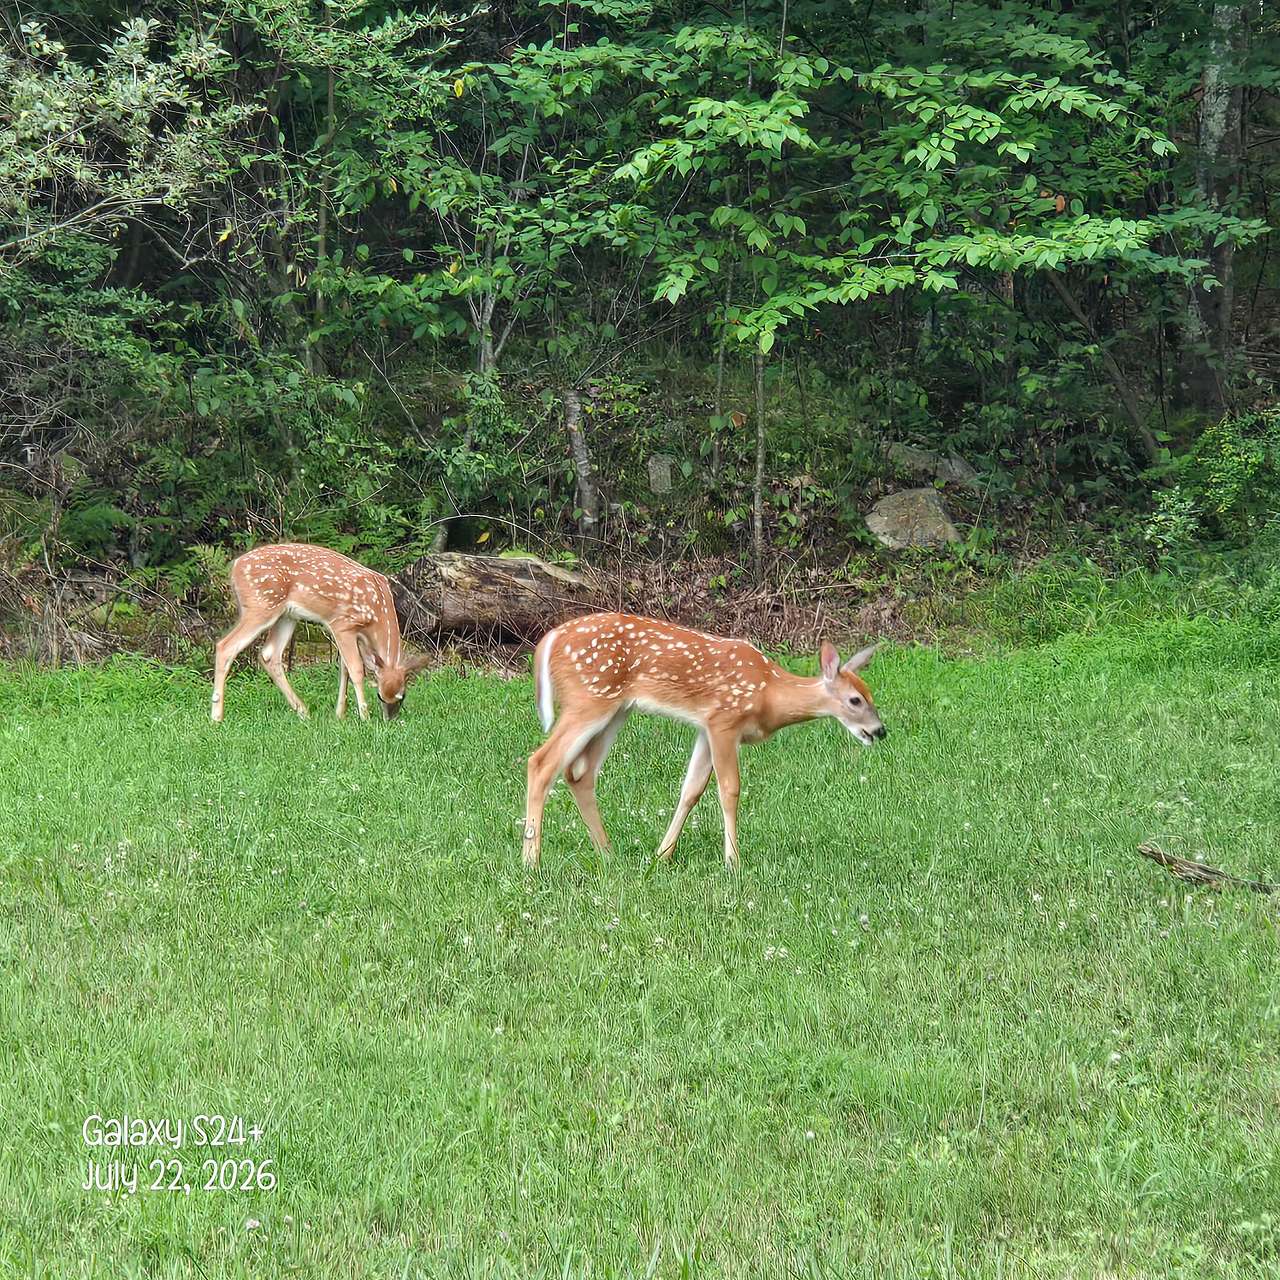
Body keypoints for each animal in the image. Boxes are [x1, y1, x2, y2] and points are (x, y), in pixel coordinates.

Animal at [210, 543, 431, 723]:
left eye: (403, 696)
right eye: (379, 695)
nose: (389, 720)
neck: (376, 614)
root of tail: (235, 567)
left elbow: (344, 669)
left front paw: (340, 714)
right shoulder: (342, 624)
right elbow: (356, 669)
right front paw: (365, 717)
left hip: (286, 616)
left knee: (269, 654)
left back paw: (303, 711)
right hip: (261, 605)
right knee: (226, 646)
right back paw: (216, 716)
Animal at [522, 612, 886, 869]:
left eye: (871, 695)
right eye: (855, 700)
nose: (880, 730)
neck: (769, 692)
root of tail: (549, 640)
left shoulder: (704, 728)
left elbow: (692, 789)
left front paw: (663, 855)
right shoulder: (724, 720)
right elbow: (729, 789)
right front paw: (733, 862)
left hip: (615, 710)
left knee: (579, 772)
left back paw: (608, 853)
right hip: (588, 699)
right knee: (541, 762)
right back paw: (531, 861)